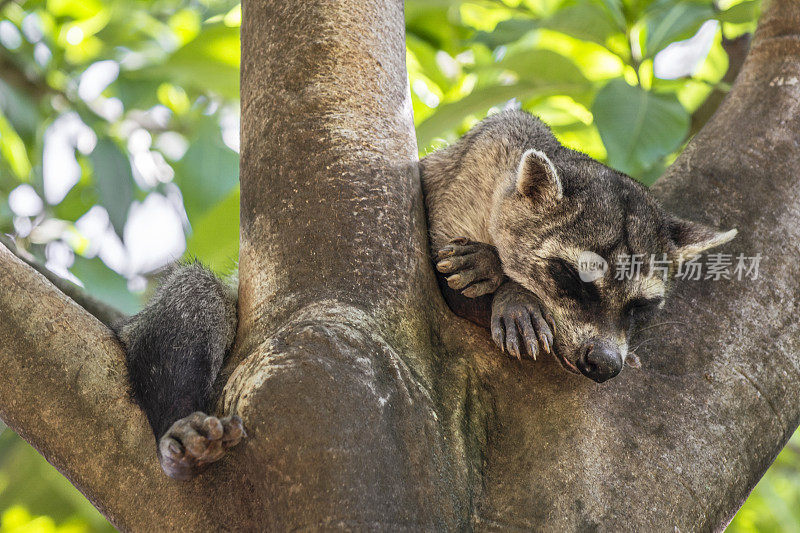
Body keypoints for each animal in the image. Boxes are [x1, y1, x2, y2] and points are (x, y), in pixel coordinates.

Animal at [422, 109, 736, 382]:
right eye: (573, 278)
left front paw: (508, 283)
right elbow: (445, 286)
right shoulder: (468, 179)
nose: (605, 363)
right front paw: (507, 283)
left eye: (640, 306)